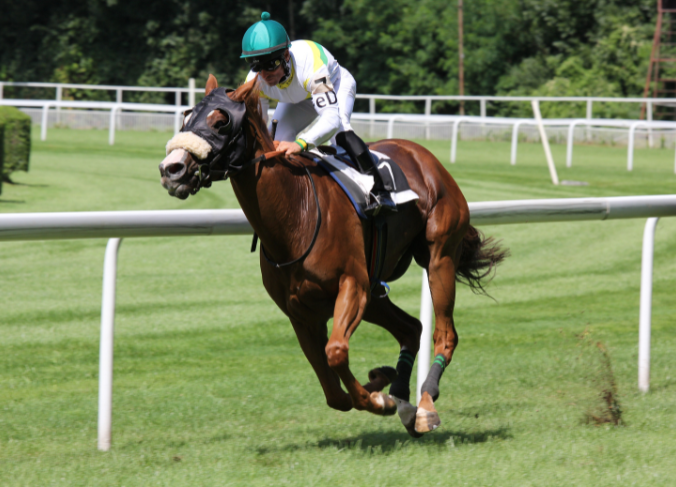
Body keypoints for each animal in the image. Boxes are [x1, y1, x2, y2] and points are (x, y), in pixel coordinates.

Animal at [160, 76, 508, 438]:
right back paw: (402, 398)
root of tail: (425, 156)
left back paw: (425, 406)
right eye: (186, 117)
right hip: (376, 292)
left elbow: (336, 353)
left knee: (445, 333)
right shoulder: (300, 312)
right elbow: (332, 390)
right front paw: (381, 385)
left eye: (221, 121)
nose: (172, 169)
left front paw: (379, 399)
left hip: (439, 257)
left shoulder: (352, 285)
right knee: (412, 328)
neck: (295, 214)